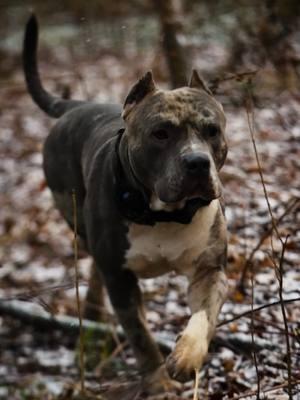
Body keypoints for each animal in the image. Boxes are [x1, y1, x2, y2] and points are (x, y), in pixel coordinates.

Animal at [23, 14, 229, 394]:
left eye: (212, 131)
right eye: (160, 133)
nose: (197, 162)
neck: (163, 215)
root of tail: (77, 105)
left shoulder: (210, 270)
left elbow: (203, 317)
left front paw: (185, 358)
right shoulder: (122, 281)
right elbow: (141, 336)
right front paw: (158, 384)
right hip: (77, 218)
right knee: (93, 260)